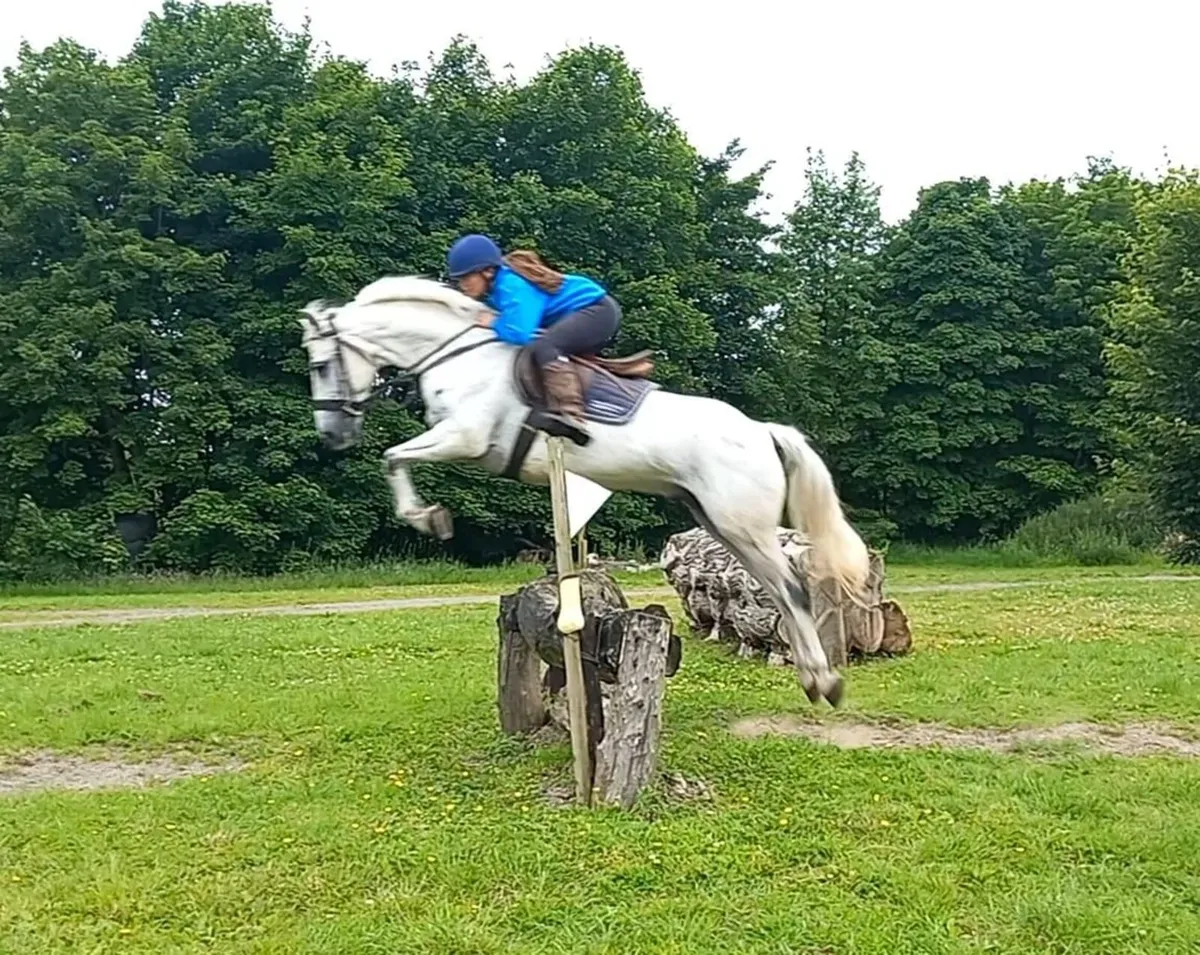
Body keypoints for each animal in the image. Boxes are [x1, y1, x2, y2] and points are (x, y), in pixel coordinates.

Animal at [298, 275, 870, 706]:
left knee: (792, 589)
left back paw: (825, 681)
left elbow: (393, 457)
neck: (455, 357)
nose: (332, 436)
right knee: (778, 590)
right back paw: (812, 679)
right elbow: (395, 457)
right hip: (721, 523)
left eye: (321, 366)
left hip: (741, 523)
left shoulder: (465, 438)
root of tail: (763, 431)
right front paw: (428, 516)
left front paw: (428, 518)